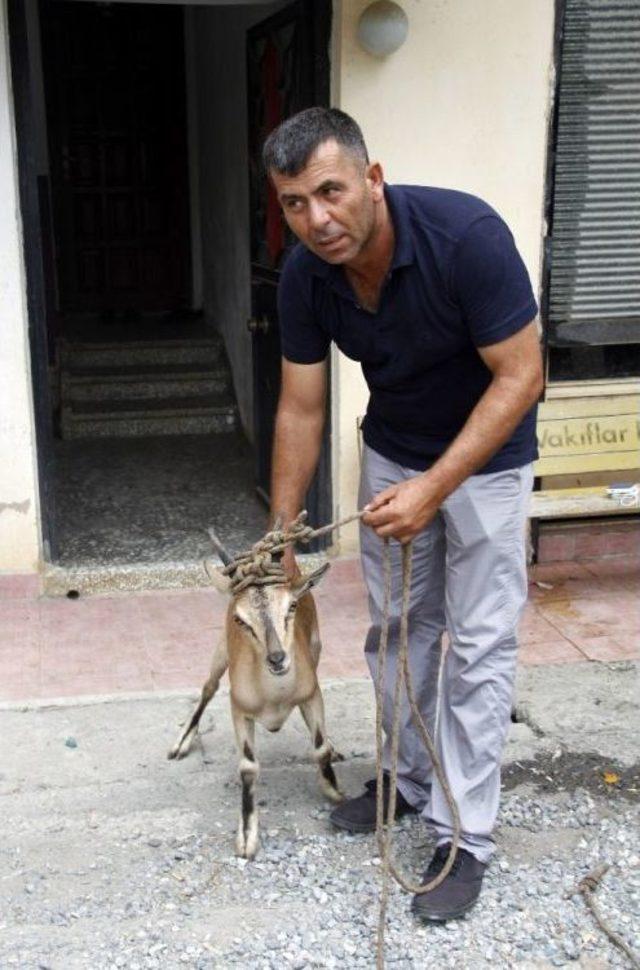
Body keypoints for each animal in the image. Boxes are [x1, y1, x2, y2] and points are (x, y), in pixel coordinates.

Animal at [168, 532, 342, 860]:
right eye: (241, 620)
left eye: (291, 606)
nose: (277, 659)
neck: (273, 698)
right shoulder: (239, 710)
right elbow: (248, 767)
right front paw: (247, 837)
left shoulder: (312, 695)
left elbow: (320, 747)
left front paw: (335, 790)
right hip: (220, 653)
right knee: (208, 687)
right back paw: (181, 743)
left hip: (317, 649)